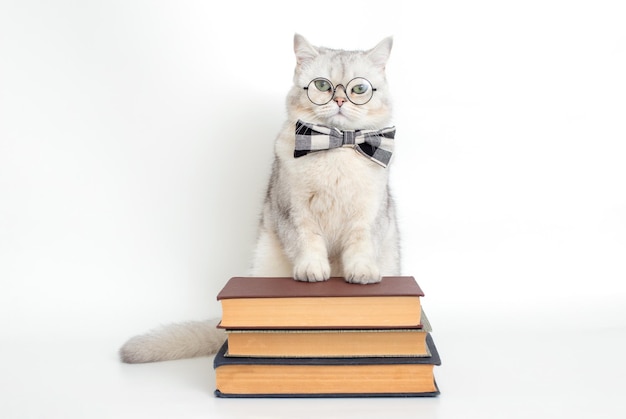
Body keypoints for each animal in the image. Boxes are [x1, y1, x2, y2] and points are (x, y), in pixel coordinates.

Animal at [119, 35, 398, 364]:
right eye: (322, 85)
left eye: (359, 89)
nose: (340, 101)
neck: (337, 146)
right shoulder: (293, 211)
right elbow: (308, 243)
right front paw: (313, 270)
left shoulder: (369, 214)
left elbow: (360, 246)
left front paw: (361, 272)